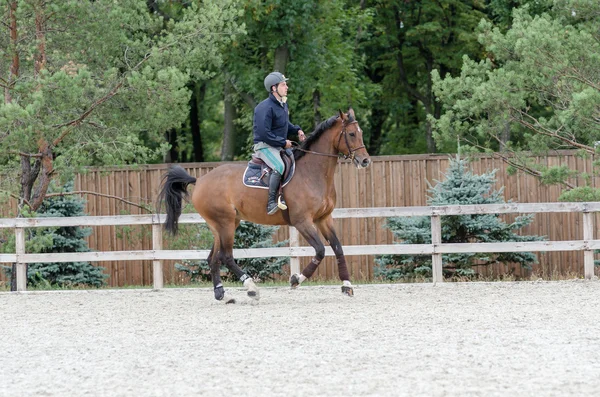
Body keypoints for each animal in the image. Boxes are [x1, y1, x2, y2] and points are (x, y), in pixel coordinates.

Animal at [157, 106, 370, 302]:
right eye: (351, 134)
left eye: (360, 133)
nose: (365, 161)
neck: (313, 173)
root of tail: (200, 180)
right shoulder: (302, 222)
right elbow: (320, 250)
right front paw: (296, 279)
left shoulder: (324, 219)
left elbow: (338, 247)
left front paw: (347, 285)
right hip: (225, 223)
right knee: (226, 256)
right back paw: (251, 287)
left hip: (222, 225)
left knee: (213, 258)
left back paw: (221, 294)